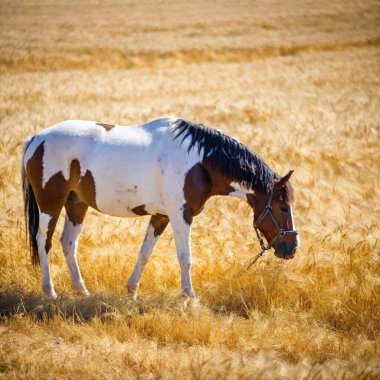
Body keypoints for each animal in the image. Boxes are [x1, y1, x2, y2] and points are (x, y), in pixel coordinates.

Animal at [21, 119, 300, 300]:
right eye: (283, 207)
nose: (292, 248)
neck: (200, 163)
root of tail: (36, 139)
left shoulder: (161, 216)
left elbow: (145, 253)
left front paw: (131, 291)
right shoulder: (180, 215)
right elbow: (185, 258)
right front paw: (189, 297)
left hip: (76, 204)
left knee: (68, 242)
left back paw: (81, 290)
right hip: (51, 203)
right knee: (43, 241)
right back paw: (50, 292)